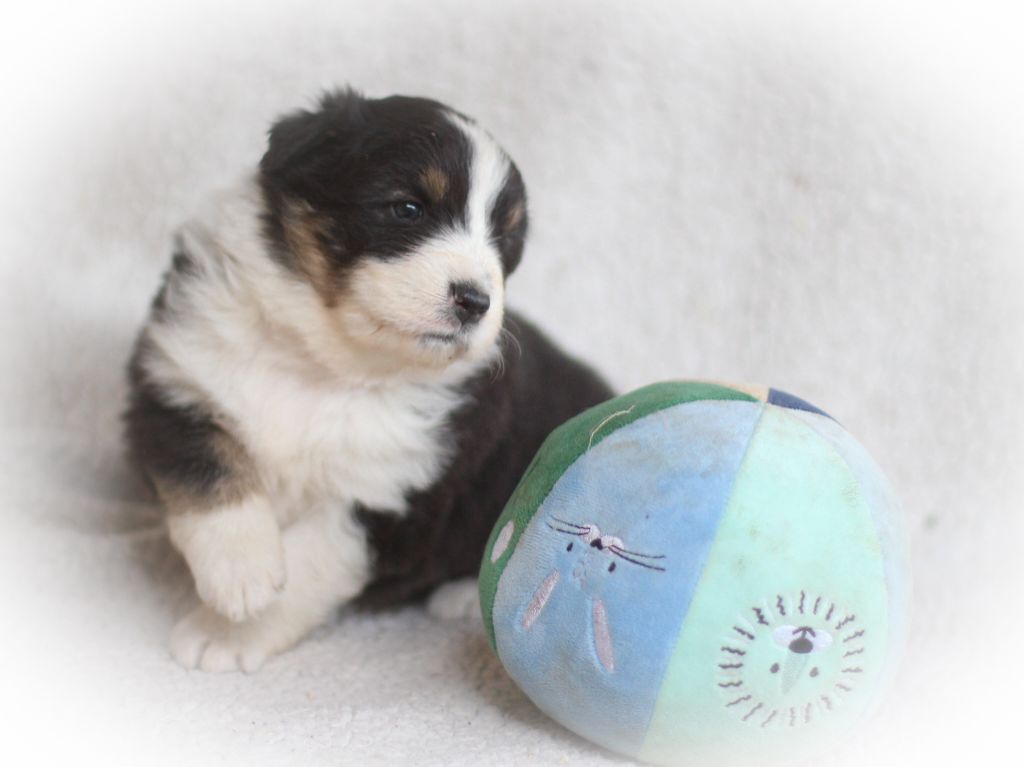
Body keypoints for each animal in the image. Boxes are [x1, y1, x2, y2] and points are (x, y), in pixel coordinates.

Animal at [125, 89, 613, 672]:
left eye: (505, 238)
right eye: (407, 208)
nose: (475, 300)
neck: (329, 365)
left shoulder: (390, 500)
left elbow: (307, 565)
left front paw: (227, 633)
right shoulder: (179, 379)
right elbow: (206, 473)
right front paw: (241, 573)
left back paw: (461, 595)